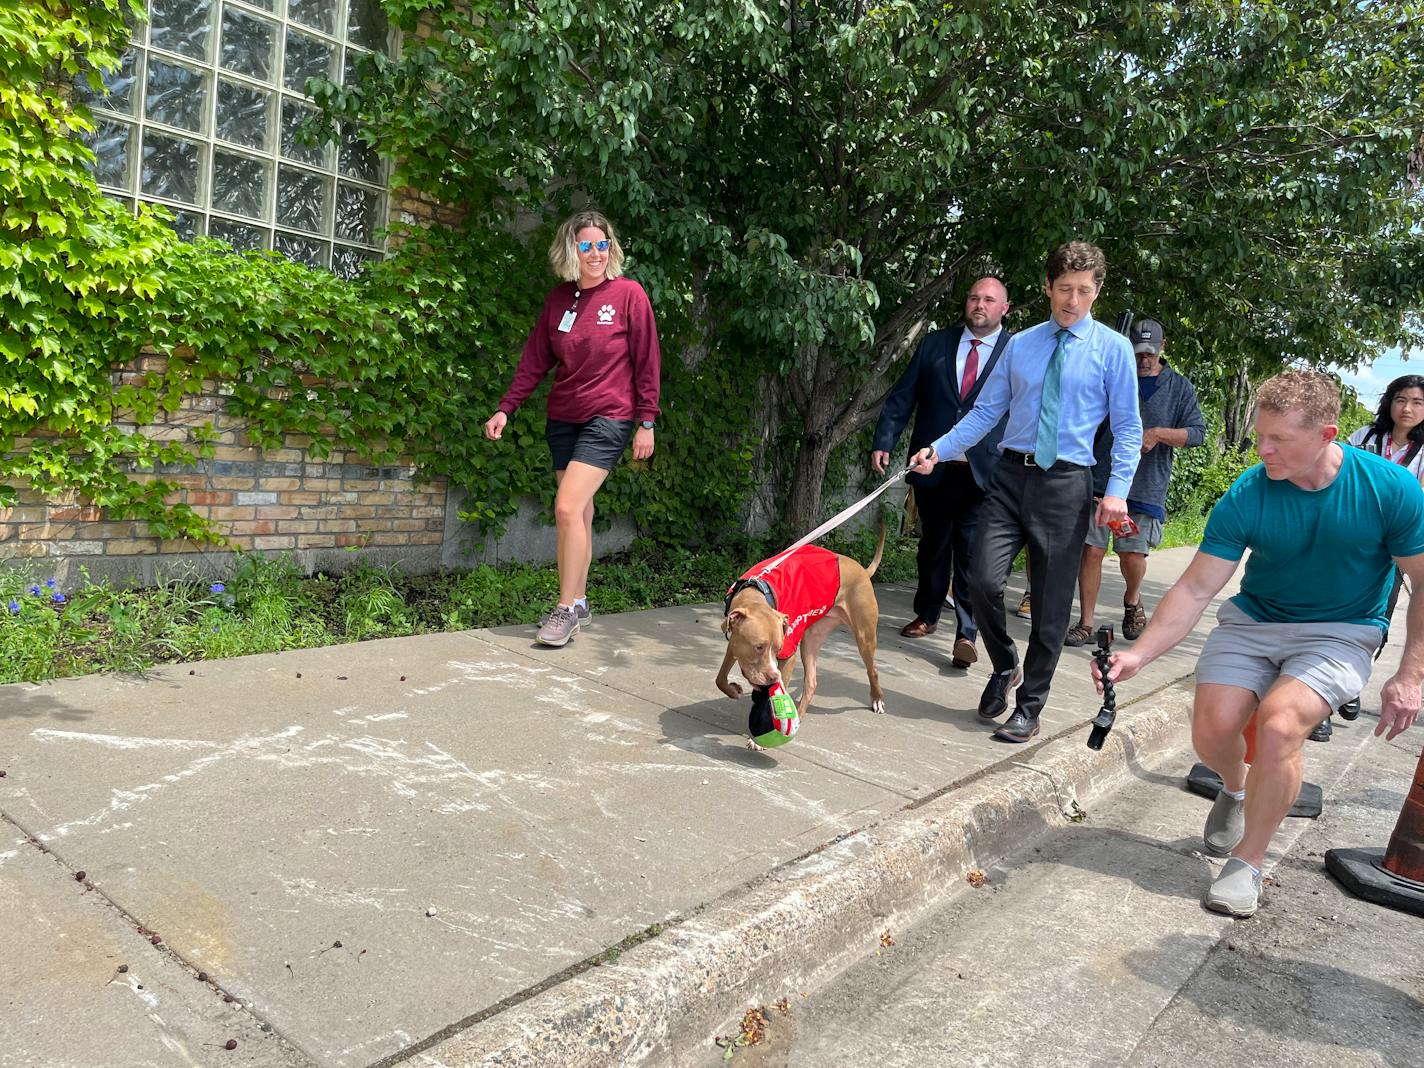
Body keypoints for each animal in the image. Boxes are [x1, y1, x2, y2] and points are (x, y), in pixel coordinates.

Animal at [717, 524, 882, 723]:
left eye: (778, 649)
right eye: (758, 647)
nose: (773, 677)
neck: (759, 593)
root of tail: (863, 571)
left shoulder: (788, 655)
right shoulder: (734, 642)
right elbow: (720, 678)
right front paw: (733, 691)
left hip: (865, 638)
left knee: (872, 670)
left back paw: (877, 700)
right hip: (811, 639)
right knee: (811, 682)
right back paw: (798, 715)